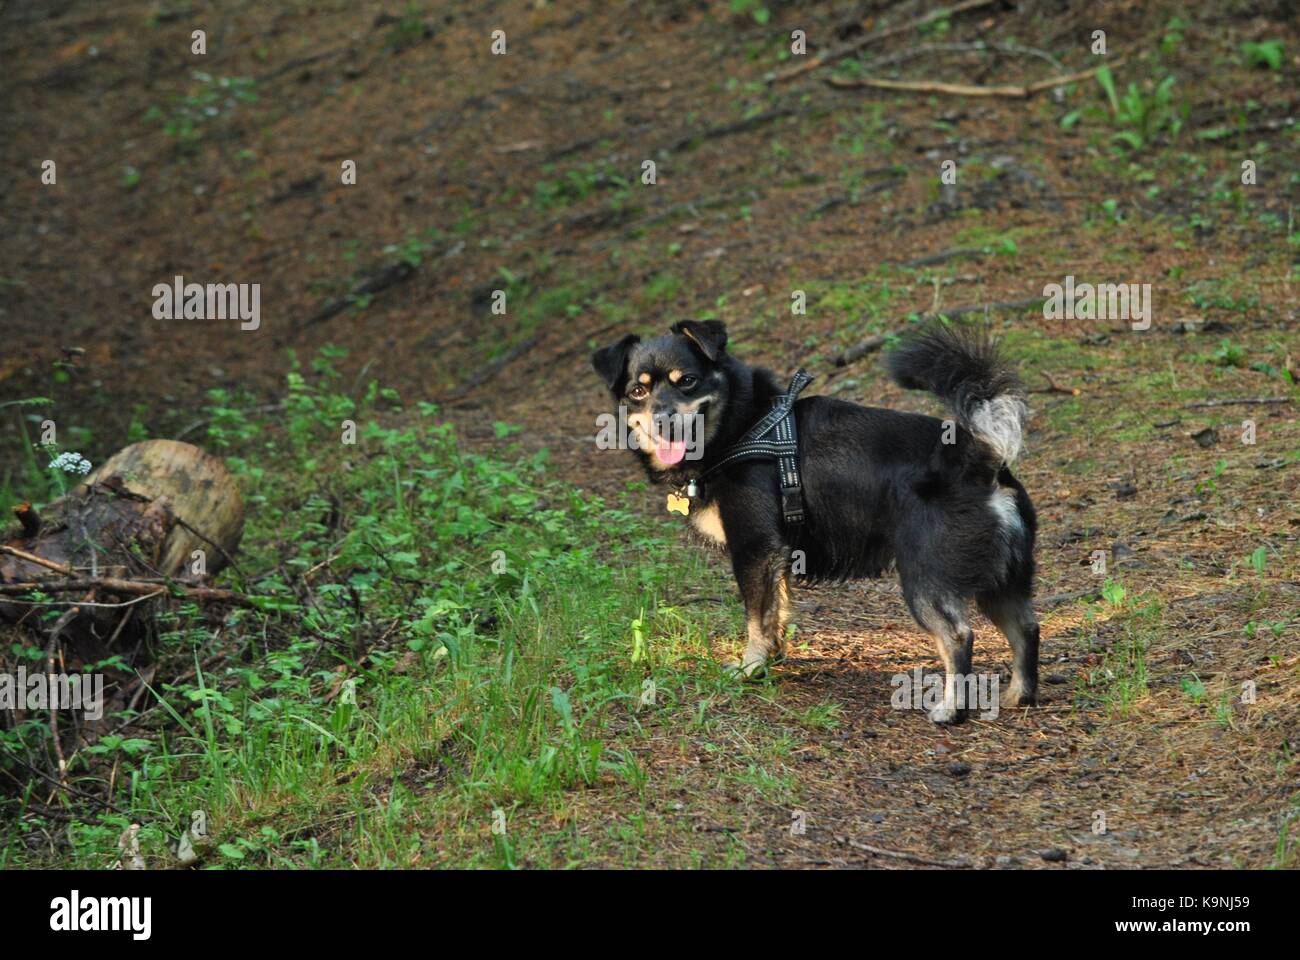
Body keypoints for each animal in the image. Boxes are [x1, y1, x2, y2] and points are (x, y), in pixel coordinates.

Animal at [595, 317, 1040, 723]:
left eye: (687, 381)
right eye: (637, 391)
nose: (663, 418)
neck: (741, 428)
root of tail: (980, 457)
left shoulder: (754, 548)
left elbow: (755, 617)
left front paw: (750, 667)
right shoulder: (778, 554)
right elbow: (776, 612)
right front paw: (770, 660)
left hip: (926, 578)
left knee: (958, 636)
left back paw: (952, 709)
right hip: (1003, 581)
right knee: (1027, 627)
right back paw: (1020, 694)